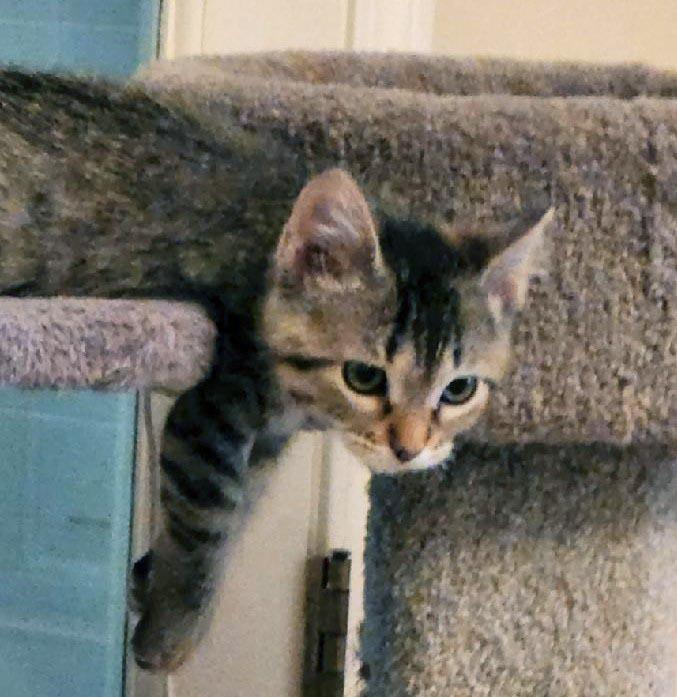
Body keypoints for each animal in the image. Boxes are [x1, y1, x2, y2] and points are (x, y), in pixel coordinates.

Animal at [0, 69, 552, 672]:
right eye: (363, 377)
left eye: (459, 389)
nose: (409, 449)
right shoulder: (218, 401)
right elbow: (212, 515)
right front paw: (172, 629)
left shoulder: (267, 438)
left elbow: (245, 504)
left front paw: (151, 579)